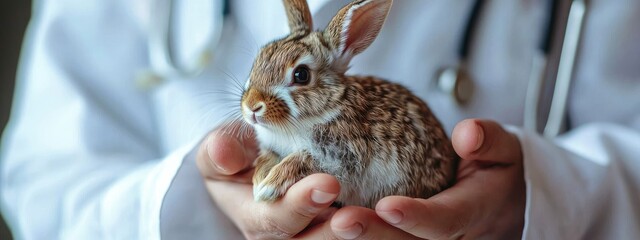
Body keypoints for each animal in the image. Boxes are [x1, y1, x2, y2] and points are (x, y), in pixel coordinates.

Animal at [239, 0, 456, 208]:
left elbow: (301, 160)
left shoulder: (341, 157)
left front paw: (268, 187)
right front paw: (259, 180)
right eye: (257, 60)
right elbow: (266, 158)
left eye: (301, 75)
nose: (252, 106)